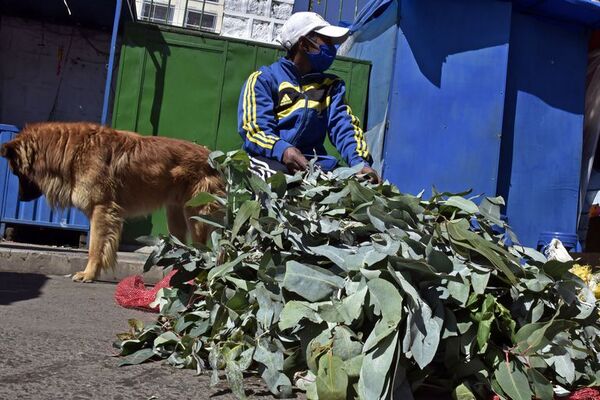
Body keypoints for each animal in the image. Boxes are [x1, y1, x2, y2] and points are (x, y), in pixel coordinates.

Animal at [0, 122, 223, 282]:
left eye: (16, 173)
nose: (19, 199)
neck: (72, 150)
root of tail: (211, 155)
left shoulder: (101, 209)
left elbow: (95, 247)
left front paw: (89, 275)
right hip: (175, 215)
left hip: (196, 215)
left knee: (201, 248)